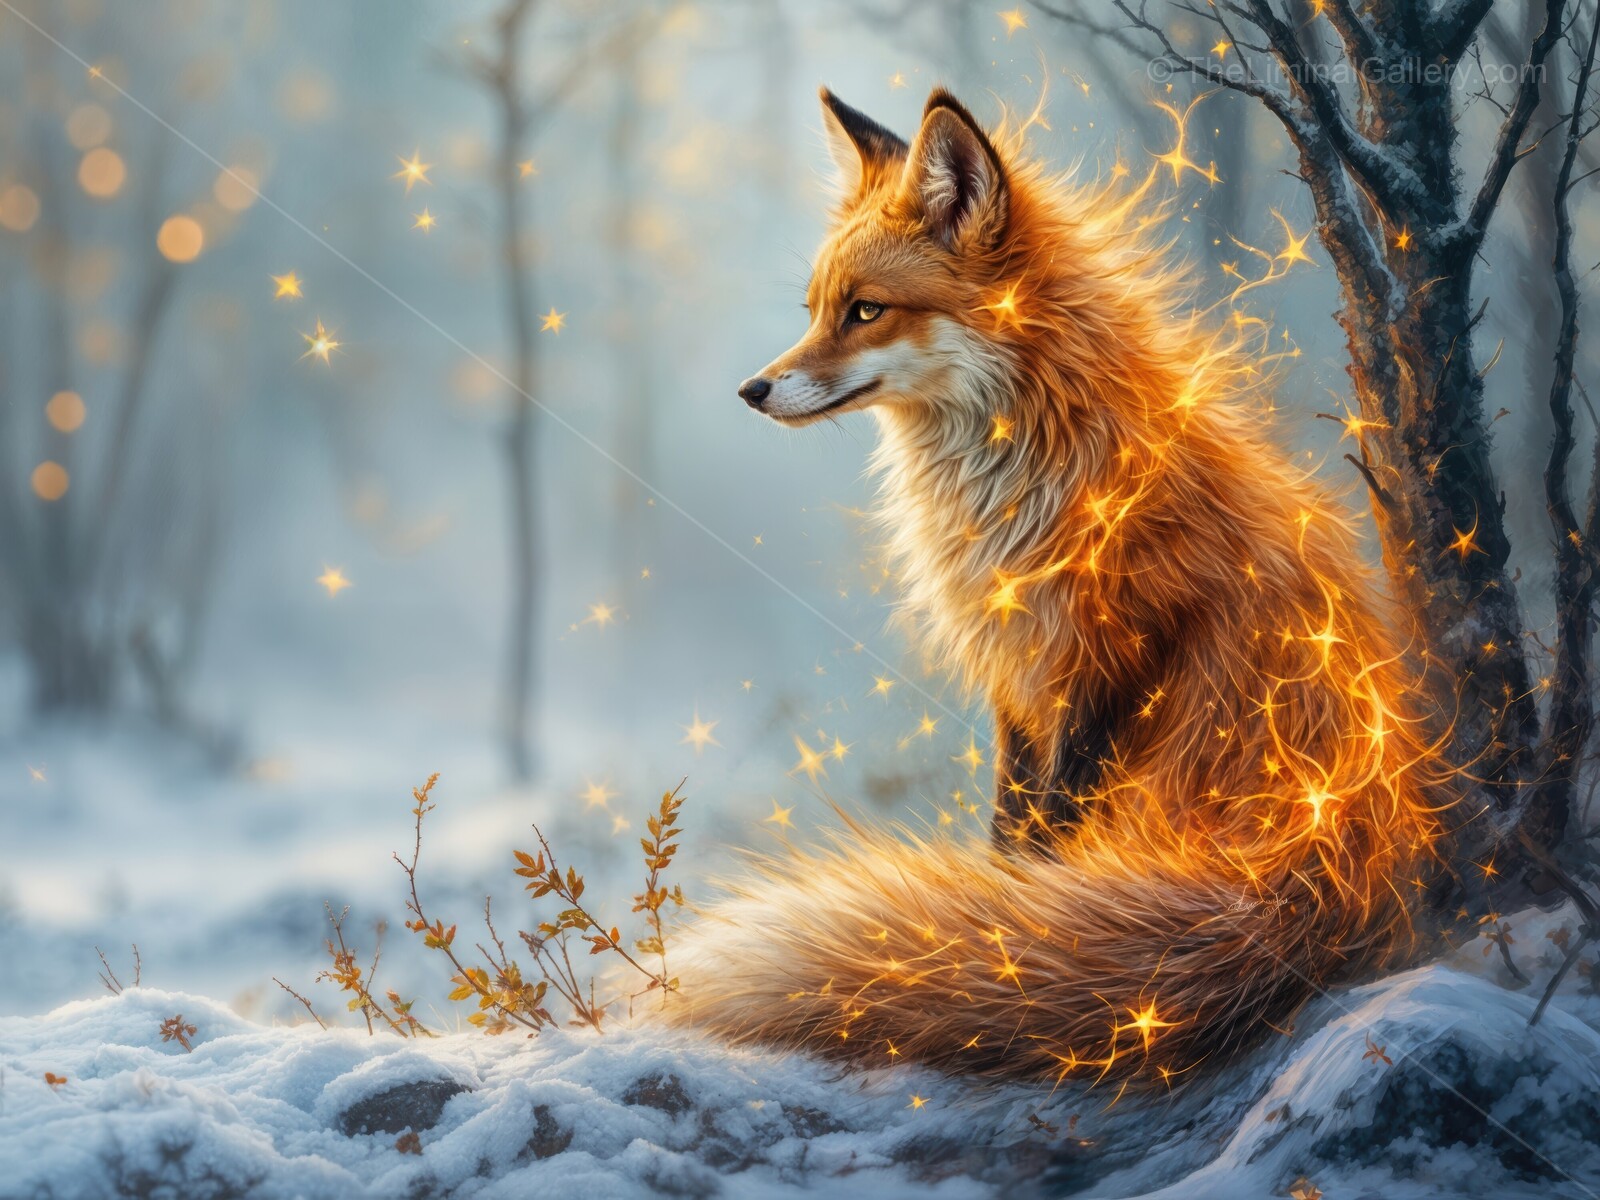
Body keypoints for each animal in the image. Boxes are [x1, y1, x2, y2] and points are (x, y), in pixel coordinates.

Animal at [674, 87, 1445, 1084]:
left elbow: (1051, 837)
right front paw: (997, 911)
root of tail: (1325, 855)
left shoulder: (1106, 666)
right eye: (814, 309)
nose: (752, 389)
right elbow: (1010, 832)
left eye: (866, 310)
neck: (1023, 484)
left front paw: (1006, 927)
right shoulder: (1017, 678)